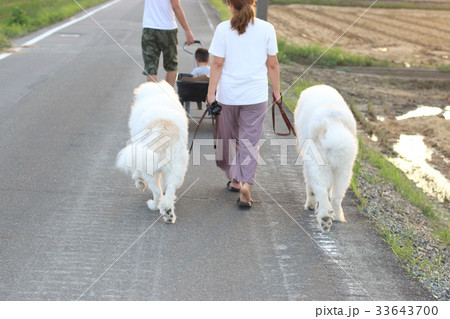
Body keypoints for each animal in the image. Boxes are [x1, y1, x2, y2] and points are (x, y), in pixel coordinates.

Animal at [116, 81, 188, 224]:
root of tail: (163, 130)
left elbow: (137, 174)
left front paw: (139, 183)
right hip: (177, 167)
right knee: (170, 190)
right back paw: (168, 213)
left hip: (150, 167)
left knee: (157, 192)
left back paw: (154, 205)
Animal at [294, 85, 356, 232]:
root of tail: (332, 122)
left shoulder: (308, 163)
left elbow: (310, 186)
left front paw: (311, 205)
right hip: (344, 170)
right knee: (337, 197)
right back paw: (336, 216)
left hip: (319, 166)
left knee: (320, 191)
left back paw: (324, 218)